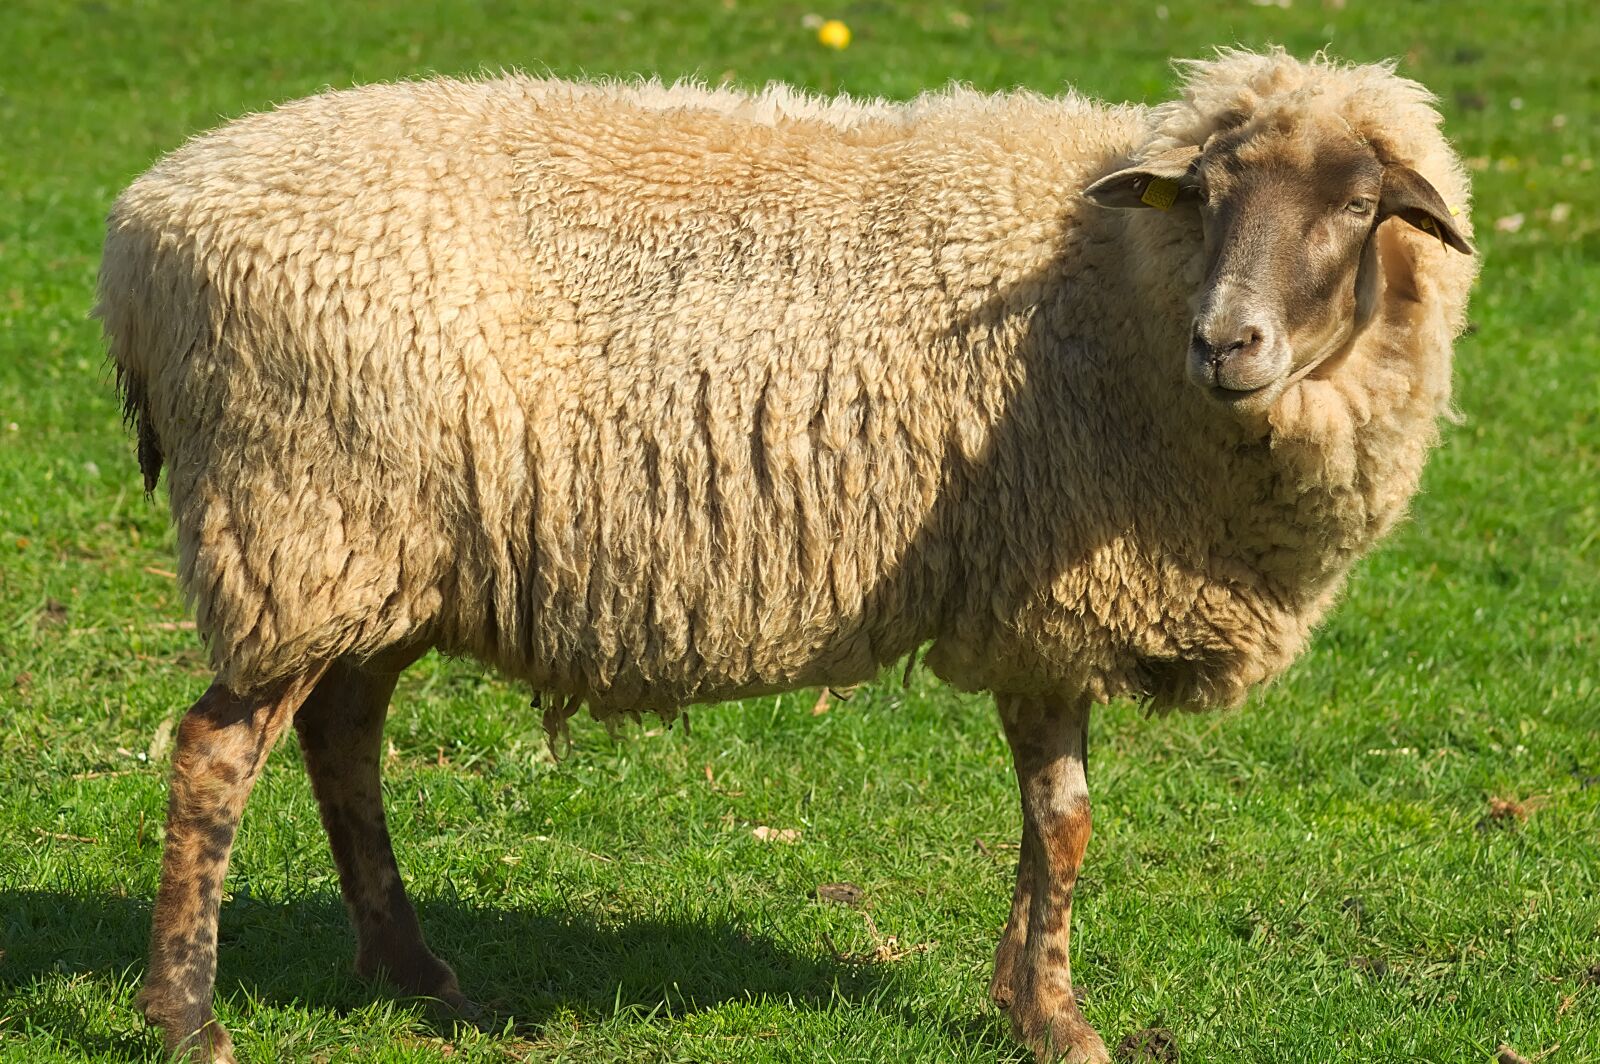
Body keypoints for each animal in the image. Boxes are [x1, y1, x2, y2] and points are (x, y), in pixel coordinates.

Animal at [97, 48, 1476, 1063]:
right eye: (1208, 194)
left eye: (1359, 207)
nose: (1226, 343)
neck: (1119, 281)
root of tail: (138, 240)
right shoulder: (1042, 586)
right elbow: (1065, 820)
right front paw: (1059, 1016)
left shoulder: (1039, 600)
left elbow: (1059, 819)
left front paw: (1027, 1002)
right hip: (301, 516)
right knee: (215, 755)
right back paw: (189, 1018)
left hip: (388, 552)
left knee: (342, 732)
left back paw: (411, 968)